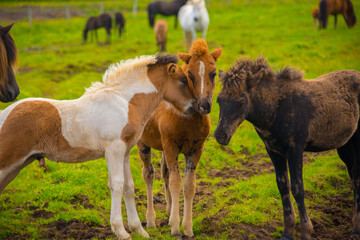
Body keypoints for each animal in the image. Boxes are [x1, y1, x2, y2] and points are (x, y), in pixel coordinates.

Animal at [0, 54, 197, 240]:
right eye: (183, 80)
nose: (197, 107)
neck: (123, 101)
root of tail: (4, 115)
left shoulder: (125, 152)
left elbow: (129, 186)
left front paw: (139, 230)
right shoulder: (113, 150)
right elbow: (117, 184)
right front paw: (121, 231)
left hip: (17, 165)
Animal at [136, 39, 221, 236]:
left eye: (213, 73)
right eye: (190, 75)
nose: (204, 105)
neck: (186, 117)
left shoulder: (196, 148)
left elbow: (189, 186)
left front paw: (187, 227)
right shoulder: (171, 145)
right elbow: (176, 182)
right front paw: (175, 228)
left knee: (164, 173)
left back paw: (168, 213)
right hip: (144, 143)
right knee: (149, 174)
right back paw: (150, 220)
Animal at [214, 55, 360, 239]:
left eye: (241, 101)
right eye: (219, 100)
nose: (220, 135)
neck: (276, 110)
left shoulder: (295, 149)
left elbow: (298, 187)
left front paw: (306, 231)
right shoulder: (273, 150)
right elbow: (283, 186)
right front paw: (287, 233)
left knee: (357, 177)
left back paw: (355, 230)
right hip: (345, 145)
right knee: (354, 175)